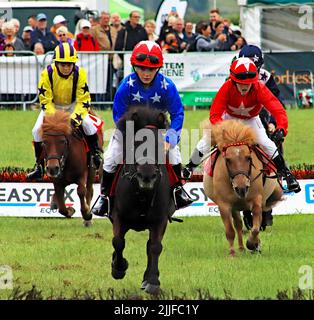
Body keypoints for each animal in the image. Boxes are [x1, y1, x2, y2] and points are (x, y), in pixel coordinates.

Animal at [110, 107, 175, 296]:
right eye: (136, 144)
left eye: (159, 145)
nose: (147, 176)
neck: (142, 193)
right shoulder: (119, 216)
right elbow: (118, 242)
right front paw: (118, 268)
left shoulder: (160, 220)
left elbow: (155, 247)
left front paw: (152, 281)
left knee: (150, 246)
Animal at [202, 119, 284, 256]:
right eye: (228, 160)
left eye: (249, 158)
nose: (242, 187)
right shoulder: (224, 205)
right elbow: (230, 230)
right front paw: (232, 253)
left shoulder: (256, 200)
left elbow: (256, 227)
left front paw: (252, 243)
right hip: (235, 207)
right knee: (238, 225)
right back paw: (240, 248)